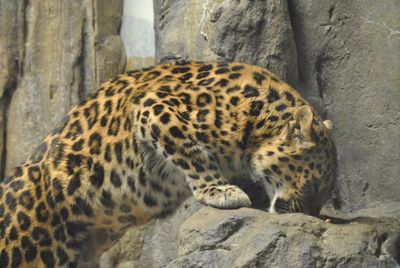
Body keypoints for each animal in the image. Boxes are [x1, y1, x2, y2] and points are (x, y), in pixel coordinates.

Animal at [0, 61, 336, 266]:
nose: (312, 216)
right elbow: (192, 152)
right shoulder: (155, 108)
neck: (256, 121)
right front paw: (221, 191)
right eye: (315, 184)